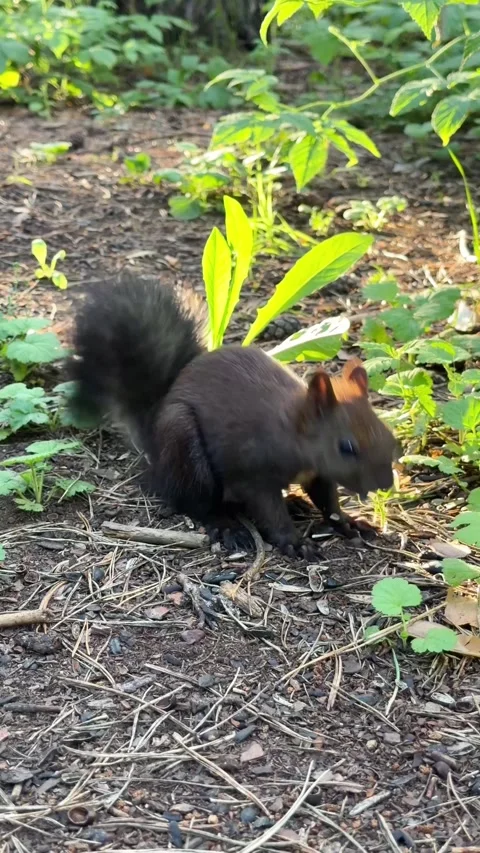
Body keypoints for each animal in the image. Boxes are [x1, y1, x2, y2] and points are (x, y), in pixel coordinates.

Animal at [68, 275, 399, 555]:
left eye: (390, 437)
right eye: (346, 447)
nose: (385, 484)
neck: (291, 431)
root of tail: (154, 445)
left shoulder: (318, 473)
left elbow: (327, 500)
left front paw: (347, 521)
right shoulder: (253, 473)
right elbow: (269, 511)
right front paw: (293, 542)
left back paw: (294, 502)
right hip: (184, 447)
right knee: (198, 503)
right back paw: (227, 526)